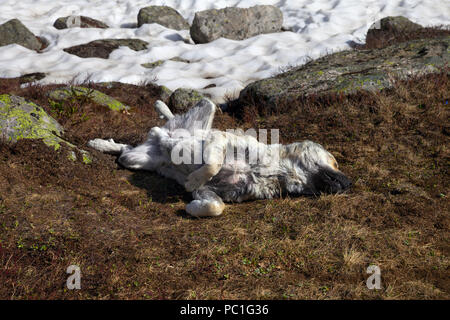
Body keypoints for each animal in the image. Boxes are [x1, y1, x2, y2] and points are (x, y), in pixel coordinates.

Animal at [86, 99, 350, 216]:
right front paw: (192, 179)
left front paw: (191, 207)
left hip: (136, 159)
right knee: (190, 110)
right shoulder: (219, 141)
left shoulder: (214, 193)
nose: (350, 183)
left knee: (125, 149)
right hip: (205, 113)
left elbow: (215, 207)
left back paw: (103, 143)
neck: (274, 172)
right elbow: (212, 166)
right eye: (335, 162)